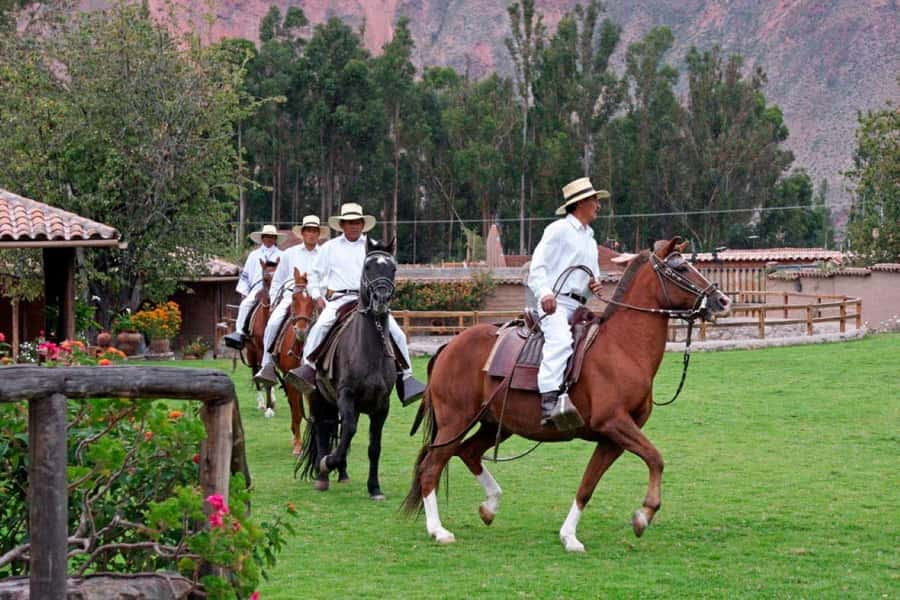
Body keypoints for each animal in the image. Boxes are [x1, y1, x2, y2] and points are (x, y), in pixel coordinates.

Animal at [297, 237, 398, 499]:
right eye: (368, 267)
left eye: (393, 268)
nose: (381, 299)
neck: (369, 352)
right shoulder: (346, 395)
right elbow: (348, 430)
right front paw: (327, 463)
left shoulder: (382, 405)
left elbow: (374, 447)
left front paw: (374, 488)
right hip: (319, 398)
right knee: (323, 429)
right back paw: (322, 474)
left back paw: (341, 472)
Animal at [402, 237, 732, 551]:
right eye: (681, 268)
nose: (722, 300)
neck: (622, 348)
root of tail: (448, 347)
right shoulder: (615, 424)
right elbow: (656, 458)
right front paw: (644, 514)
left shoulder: (613, 438)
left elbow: (587, 485)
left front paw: (570, 536)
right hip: (456, 422)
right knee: (431, 468)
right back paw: (439, 531)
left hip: (496, 424)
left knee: (467, 453)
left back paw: (490, 506)